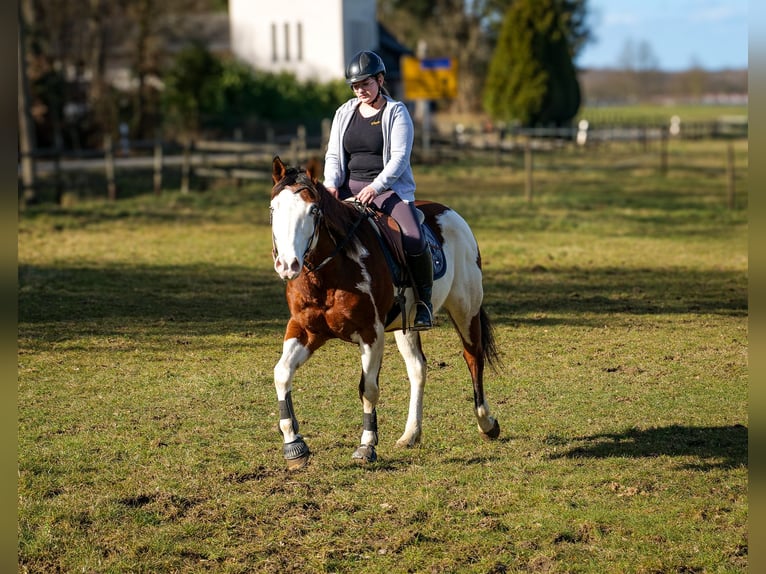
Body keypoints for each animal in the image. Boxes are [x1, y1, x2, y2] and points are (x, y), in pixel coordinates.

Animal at [270, 158, 504, 472]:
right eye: (273, 208)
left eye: (313, 210)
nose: (288, 265)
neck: (331, 272)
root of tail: (448, 212)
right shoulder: (305, 330)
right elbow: (282, 374)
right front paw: (294, 445)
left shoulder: (371, 333)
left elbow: (368, 388)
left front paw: (366, 445)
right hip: (409, 325)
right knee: (418, 368)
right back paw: (411, 434)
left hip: (465, 309)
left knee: (473, 357)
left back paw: (486, 423)